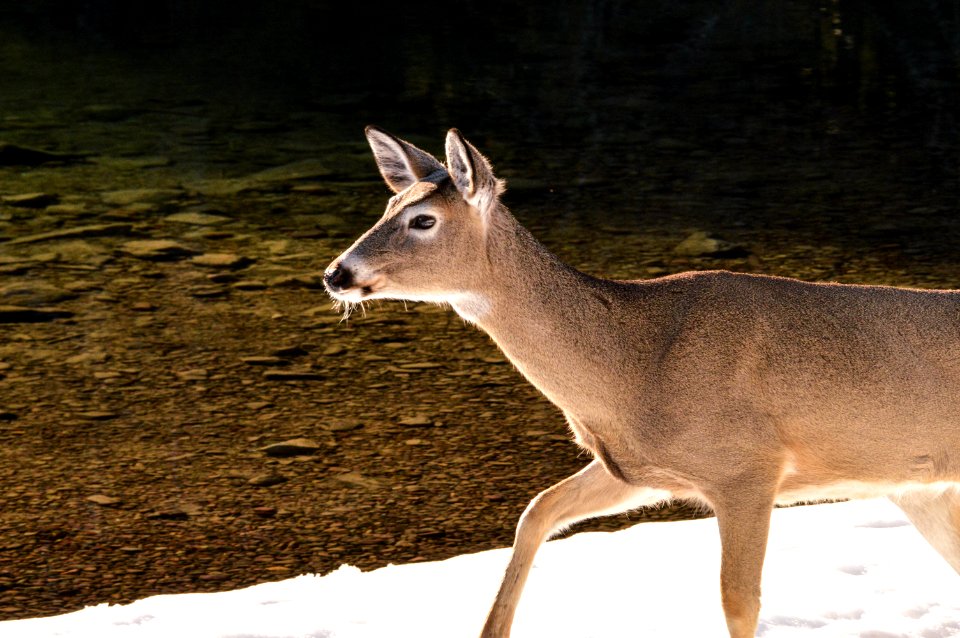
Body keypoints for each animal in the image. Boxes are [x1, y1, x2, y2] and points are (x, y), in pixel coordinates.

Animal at [322, 126, 960, 638]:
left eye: (423, 220)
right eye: (387, 203)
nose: (336, 274)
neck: (637, 369)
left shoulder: (747, 466)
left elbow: (738, 602)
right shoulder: (636, 468)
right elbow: (537, 511)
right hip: (920, 485)